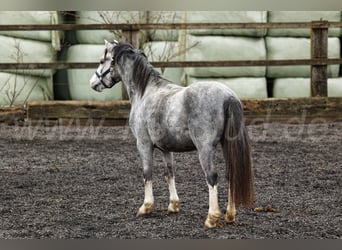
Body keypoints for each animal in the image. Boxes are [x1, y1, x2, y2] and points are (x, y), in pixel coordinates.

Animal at [91, 40, 254, 228]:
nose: (93, 83)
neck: (145, 91)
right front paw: (173, 205)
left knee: (212, 177)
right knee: (230, 175)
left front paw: (146, 207)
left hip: (204, 149)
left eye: (101, 61)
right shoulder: (165, 148)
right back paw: (230, 215)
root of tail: (228, 96)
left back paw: (212, 217)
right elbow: (169, 173)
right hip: (226, 145)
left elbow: (147, 173)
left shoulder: (143, 144)